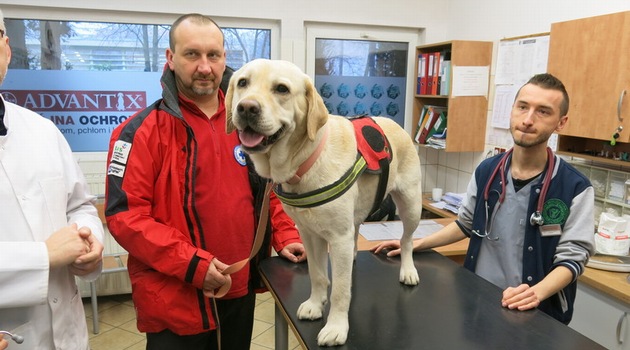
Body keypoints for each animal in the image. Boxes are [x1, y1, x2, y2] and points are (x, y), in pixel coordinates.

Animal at [225, 58, 422, 346]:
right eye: (242, 83)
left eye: (282, 89)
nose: (246, 107)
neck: (304, 161)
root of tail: (394, 124)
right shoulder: (309, 234)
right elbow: (318, 275)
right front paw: (315, 305)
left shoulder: (337, 237)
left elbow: (340, 289)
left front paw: (337, 326)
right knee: (357, 233)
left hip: (411, 205)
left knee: (406, 240)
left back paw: (408, 271)